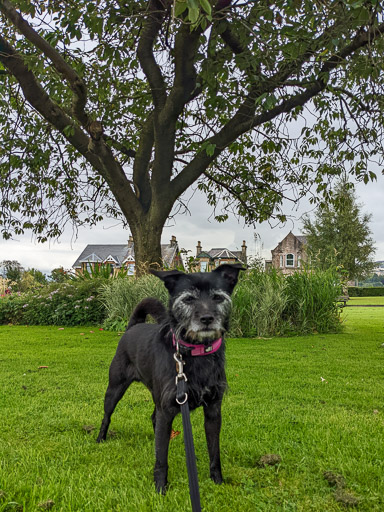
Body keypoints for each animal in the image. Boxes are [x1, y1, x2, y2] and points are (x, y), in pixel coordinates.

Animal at [97, 264, 244, 492]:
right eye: (188, 299)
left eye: (218, 297)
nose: (207, 319)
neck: (195, 354)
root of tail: (133, 327)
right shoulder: (167, 409)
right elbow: (161, 459)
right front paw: (160, 488)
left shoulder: (213, 411)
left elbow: (214, 452)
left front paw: (217, 481)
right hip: (115, 388)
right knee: (107, 415)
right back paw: (100, 438)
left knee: (153, 419)